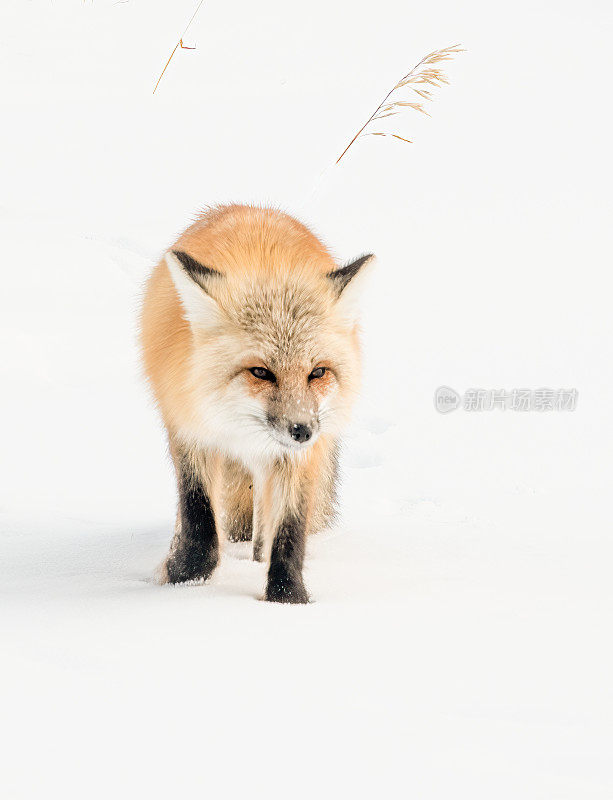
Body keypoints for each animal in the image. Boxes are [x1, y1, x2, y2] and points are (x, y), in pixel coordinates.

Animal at [140, 203, 372, 604]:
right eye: (261, 372)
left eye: (318, 372)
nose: (302, 430)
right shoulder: (190, 431)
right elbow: (199, 523)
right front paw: (183, 577)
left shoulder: (299, 458)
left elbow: (289, 532)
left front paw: (286, 597)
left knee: (262, 531)